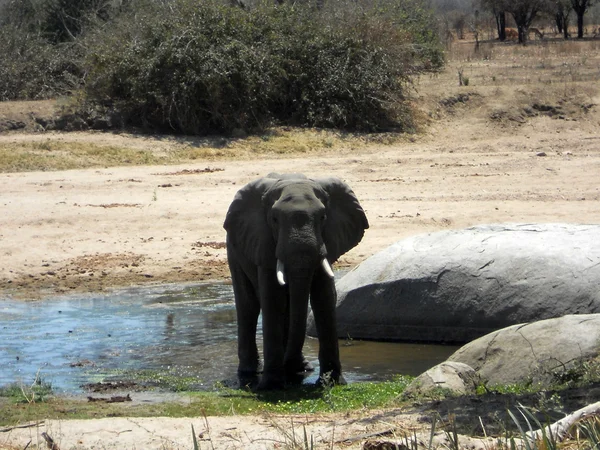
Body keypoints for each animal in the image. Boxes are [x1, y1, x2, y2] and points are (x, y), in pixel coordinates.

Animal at [223, 173, 368, 390]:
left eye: (323, 217)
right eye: (274, 219)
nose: (290, 366)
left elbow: (324, 297)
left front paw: (332, 383)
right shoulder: (263, 241)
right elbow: (273, 299)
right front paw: (272, 387)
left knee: (288, 305)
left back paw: (301, 368)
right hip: (234, 248)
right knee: (248, 305)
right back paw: (251, 373)